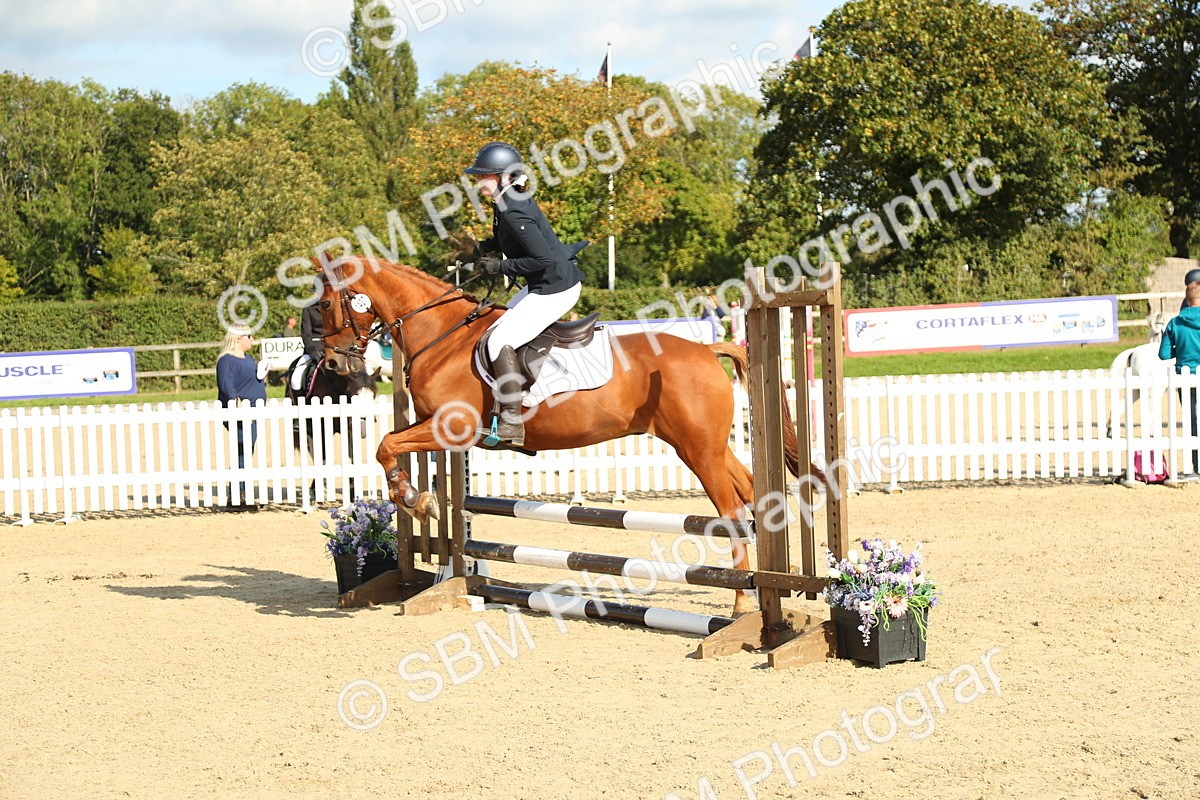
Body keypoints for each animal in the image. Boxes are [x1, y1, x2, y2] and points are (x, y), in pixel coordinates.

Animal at [312, 256, 809, 614]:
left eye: (326, 304)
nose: (334, 362)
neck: (442, 336)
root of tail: (708, 349)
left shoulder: (450, 428)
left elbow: (385, 446)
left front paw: (417, 500)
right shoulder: (434, 428)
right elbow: (389, 445)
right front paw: (420, 500)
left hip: (698, 451)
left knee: (732, 511)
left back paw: (743, 601)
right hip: (707, 447)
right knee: (752, 493)